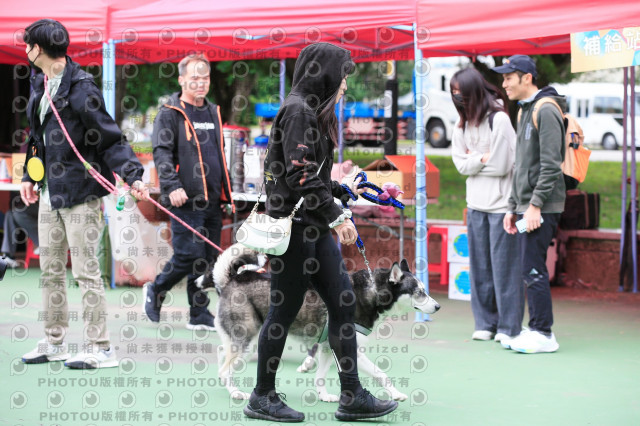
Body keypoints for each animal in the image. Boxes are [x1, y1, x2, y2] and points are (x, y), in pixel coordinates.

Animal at [198, 243, 440, 401]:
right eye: (419, 292)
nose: (438, 307)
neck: (369, 293)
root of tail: (233, 279)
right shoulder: (352, 350)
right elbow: (381, 373)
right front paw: (396, 394)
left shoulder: (326, 348)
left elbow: (320, 377)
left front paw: (324, 396)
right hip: (247, 341)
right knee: (225, 369)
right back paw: (236, 393)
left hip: (242, 339)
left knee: (221, 353)